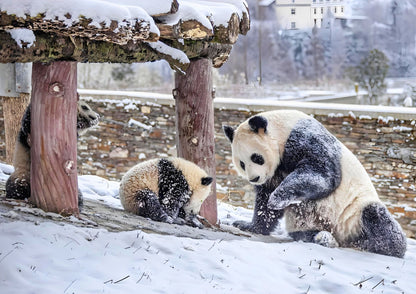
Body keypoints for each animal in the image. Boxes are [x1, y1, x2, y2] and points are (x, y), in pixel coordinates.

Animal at [223, 110, 408, 258]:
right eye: (242, 163)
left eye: (256, 158)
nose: (254, 178)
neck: (282, 129)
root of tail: (343, 237)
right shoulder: (273, 174)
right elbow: (265, 204)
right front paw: (250, 225)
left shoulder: (304, 138)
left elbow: (322, 173)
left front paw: (276, 198)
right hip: (306, 223)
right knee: (304, 234)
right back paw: (323, 238)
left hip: (355, 211)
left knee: (376, 217)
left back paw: (380, 245)